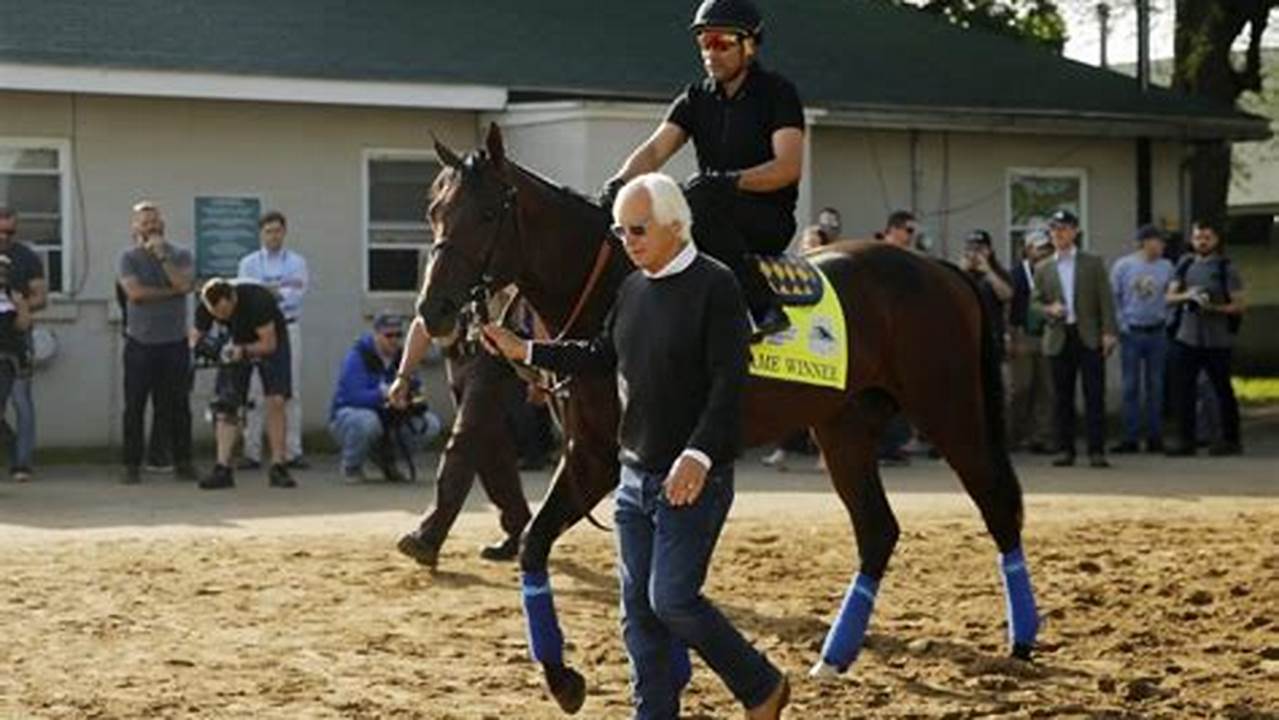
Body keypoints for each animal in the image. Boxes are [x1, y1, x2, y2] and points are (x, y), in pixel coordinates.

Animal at [419, 125, 1038, 716]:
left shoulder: (601, 461)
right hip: (843, 427)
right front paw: (579, 676)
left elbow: (570, 551)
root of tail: (940, 270)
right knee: (877, 529)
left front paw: (574, 676)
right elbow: (539, 546)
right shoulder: (592, 454)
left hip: (950, 408)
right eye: (434, 211)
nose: (433, 310)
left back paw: (1022, 639)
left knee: (995, 501)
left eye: (487, 213)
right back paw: (835, 656)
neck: (609, 286)